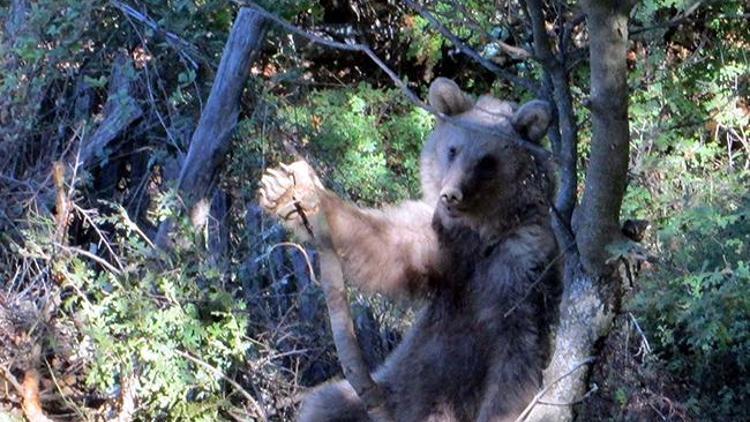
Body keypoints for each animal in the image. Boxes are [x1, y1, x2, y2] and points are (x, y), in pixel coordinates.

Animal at [258, 76, 560, 422]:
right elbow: (386, 245)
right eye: (453, 149)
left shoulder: (521, 273)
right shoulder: (442, 248)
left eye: (488, 161)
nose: (451, 194)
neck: (481, 235)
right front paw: (289, 191)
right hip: (393, 388)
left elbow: (516, 361)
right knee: (328, 402)